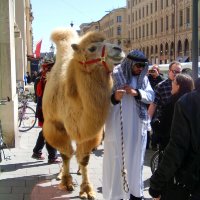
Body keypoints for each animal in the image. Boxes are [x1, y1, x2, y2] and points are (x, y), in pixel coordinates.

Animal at [42, 27, 125, 198]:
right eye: (92, 48)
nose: (118, 49)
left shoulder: (90, 132)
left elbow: (84, 158)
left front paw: (86, 190)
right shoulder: (56, 126)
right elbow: (66, 154)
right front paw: (67, 182)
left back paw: (78, 171)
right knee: (65, 152)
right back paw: (61, 174)